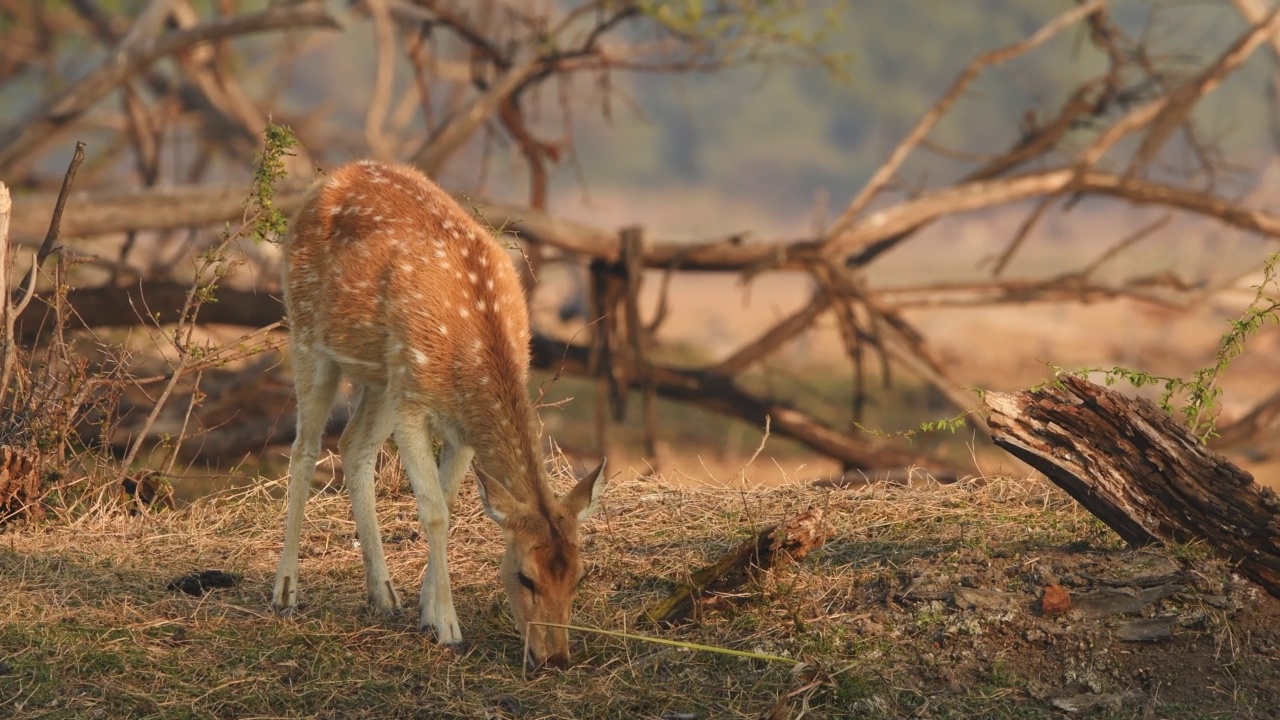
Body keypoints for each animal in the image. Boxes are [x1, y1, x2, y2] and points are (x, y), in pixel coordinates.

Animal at [271, 159, 609, 671]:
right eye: (524, 575)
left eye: (580, 576)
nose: (554, 658)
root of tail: (327, 179)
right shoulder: (413, 405)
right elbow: (433, 511)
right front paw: (448, 626)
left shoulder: (458, 424)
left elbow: (448, 501)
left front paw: (426, 609)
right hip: (307, 333)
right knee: (304, 448)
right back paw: (285, 590)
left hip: (384, 375)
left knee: (353, 445)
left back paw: (383, 594)